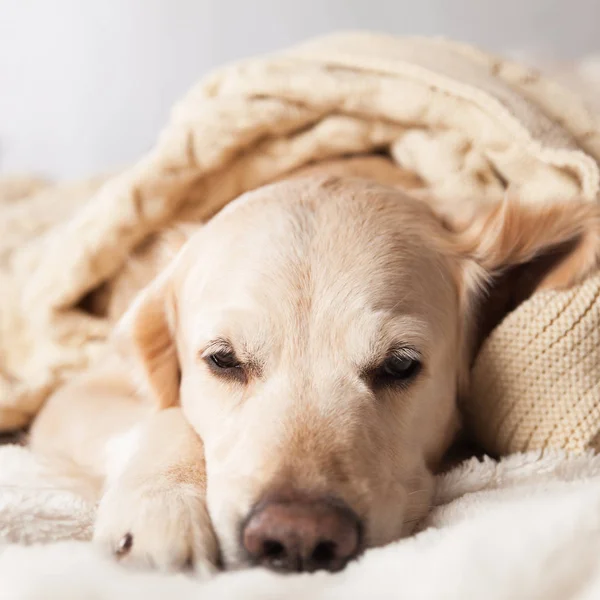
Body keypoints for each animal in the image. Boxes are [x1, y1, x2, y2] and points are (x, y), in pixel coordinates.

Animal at [27, 159, 600, 576]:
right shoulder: (74, 395)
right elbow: (164, 416)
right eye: (222, 360)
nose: (298, 536)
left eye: (400, 365)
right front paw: (160, 507)